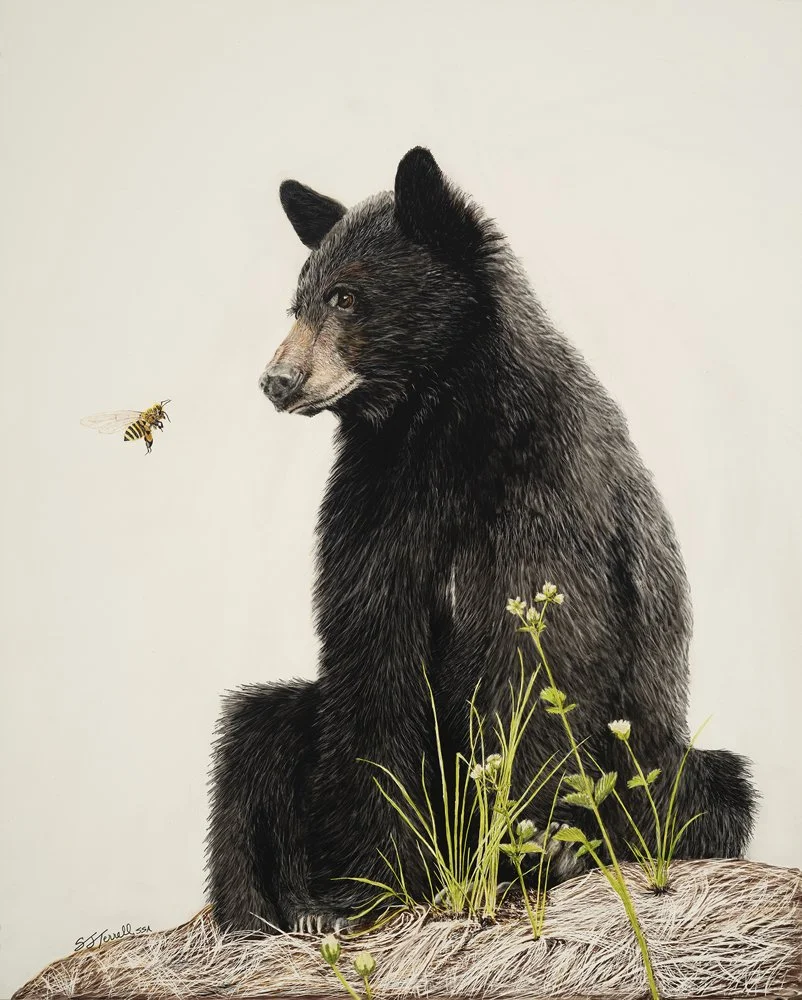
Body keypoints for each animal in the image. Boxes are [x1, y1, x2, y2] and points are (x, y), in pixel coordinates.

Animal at [206, 147, 757, 935]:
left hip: (665, 757)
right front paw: (369, 880)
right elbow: (372, 653)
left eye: (346, 298)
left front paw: (518, 851)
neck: (436, 426)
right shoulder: (376, 503)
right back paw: (280, 905)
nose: (277, 381)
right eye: (298, 303)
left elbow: (536, 660)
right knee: (257, 730)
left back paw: (575, 850)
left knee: (705, 792)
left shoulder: (547, 492)